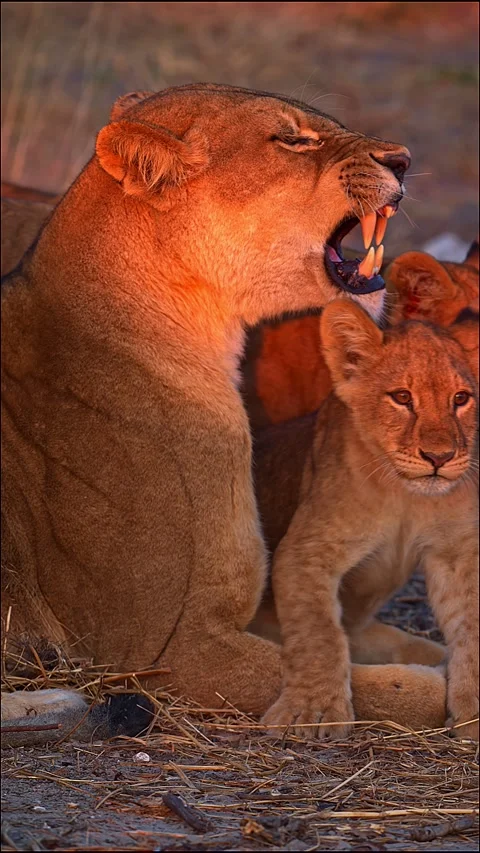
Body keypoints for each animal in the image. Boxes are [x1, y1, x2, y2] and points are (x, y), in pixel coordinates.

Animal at [252, 301, 478, 740]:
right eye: (402, 397)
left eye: (461, 398)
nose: (440, 457)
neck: (406, 498)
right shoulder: (306, 550)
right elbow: (318, 633)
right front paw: (314, 710)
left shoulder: (457, 553)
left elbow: (472, 629)